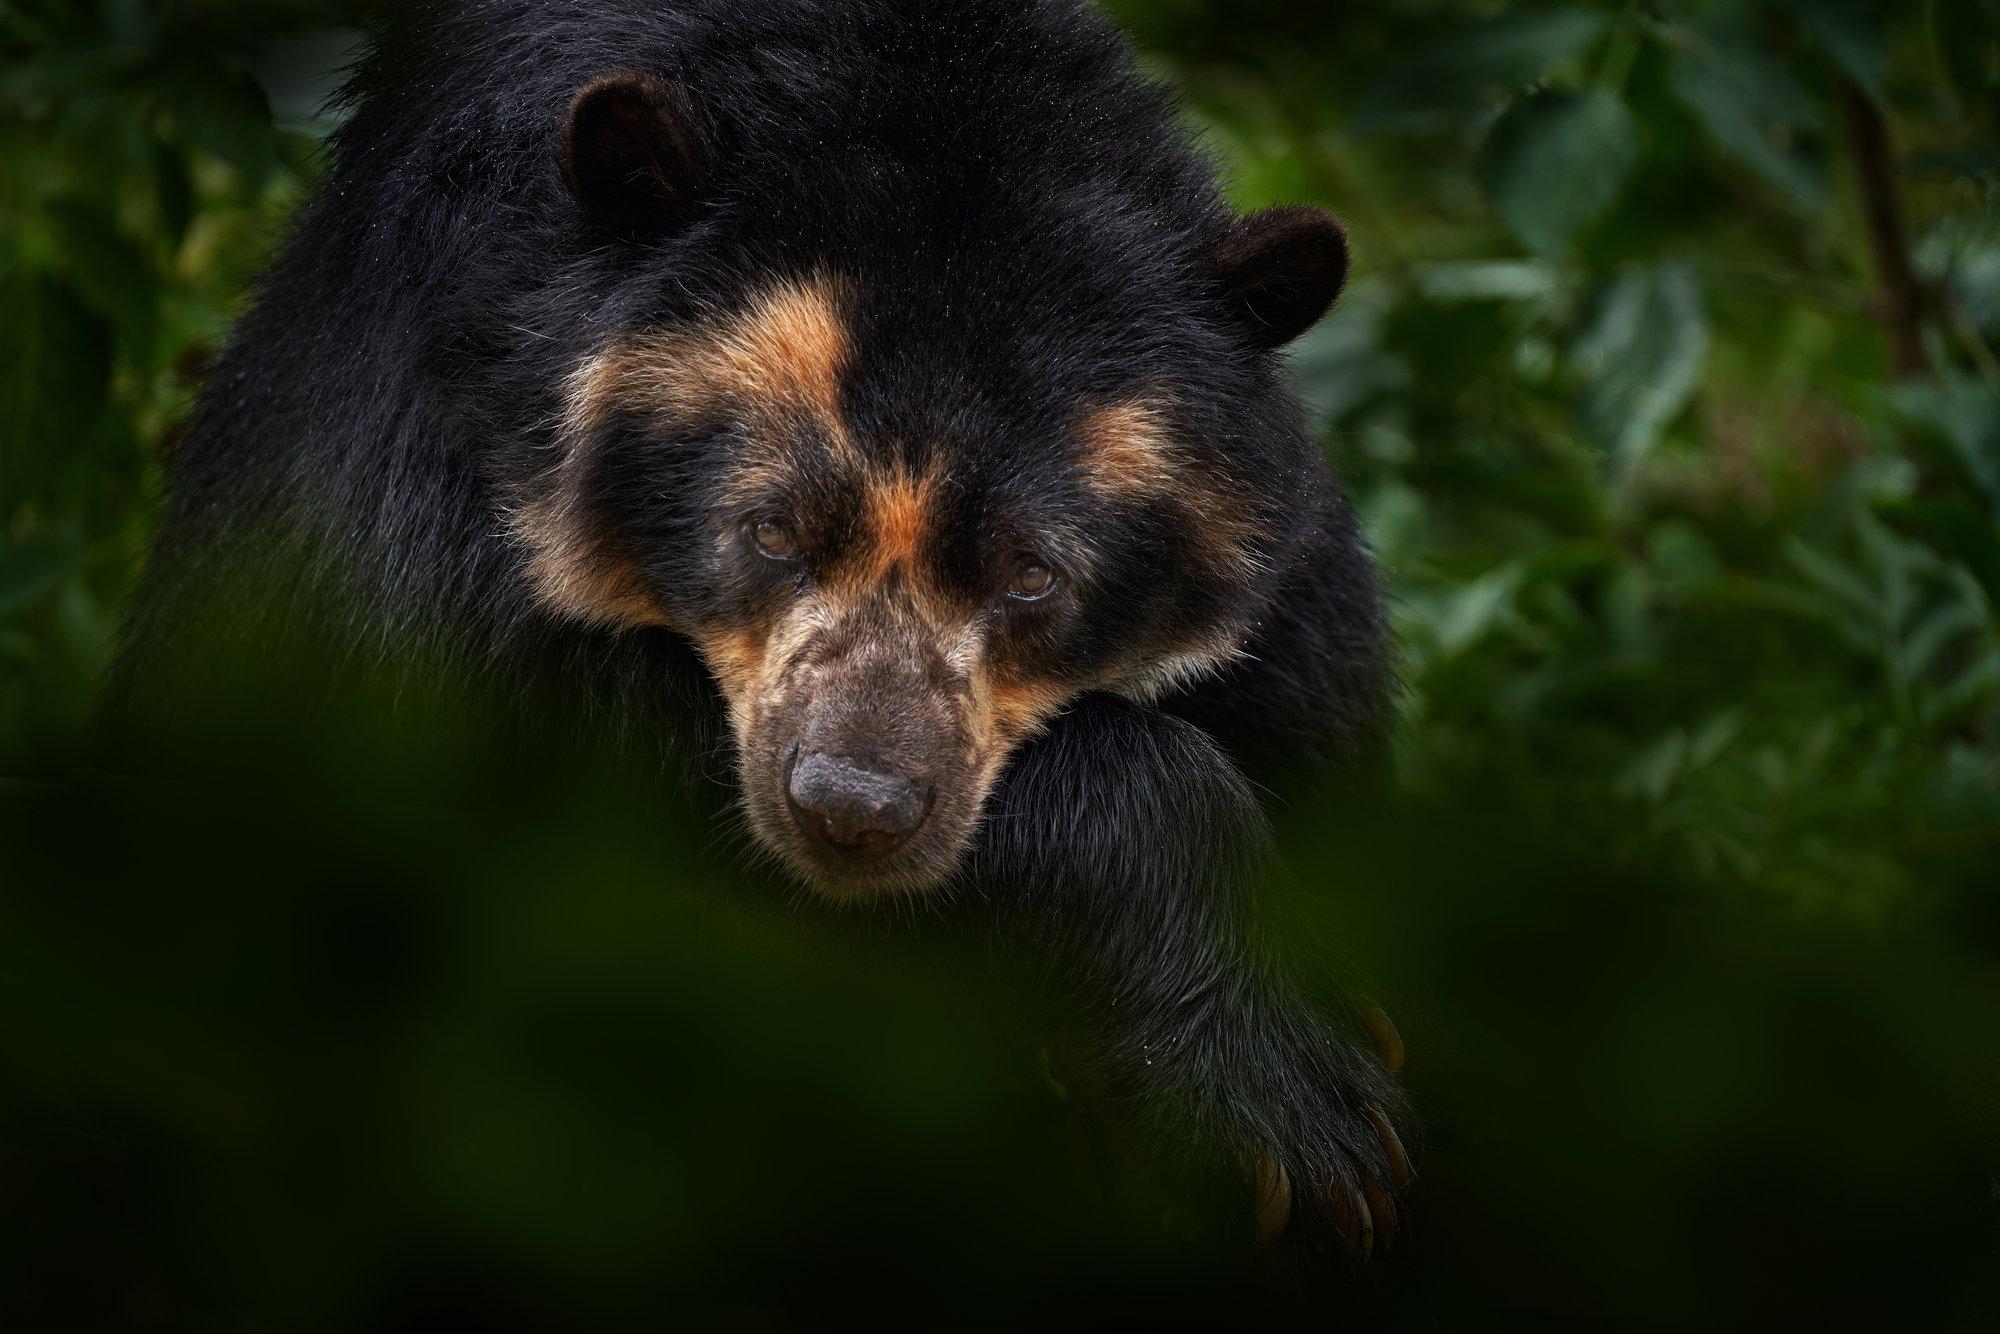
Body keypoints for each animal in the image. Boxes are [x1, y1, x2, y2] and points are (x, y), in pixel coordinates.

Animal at [109, 0, 1416, 1264]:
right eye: (771, 528)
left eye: (1032, 574)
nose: (851, 811)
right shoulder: (410, 449)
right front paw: (1300, 1122)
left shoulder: (1296, 622)